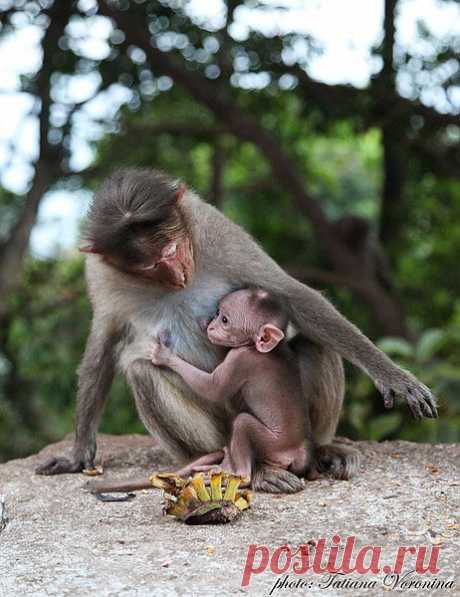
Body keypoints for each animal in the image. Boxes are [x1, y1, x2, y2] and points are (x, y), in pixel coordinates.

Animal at [149, 286, 318, 486]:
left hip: (273, 444)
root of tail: (298, 453)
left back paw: (239, 475)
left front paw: (165, 356)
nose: (211, 326)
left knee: (243, 424)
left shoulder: (240, 359)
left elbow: (213, 388)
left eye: (224, 320)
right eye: (217, 313)